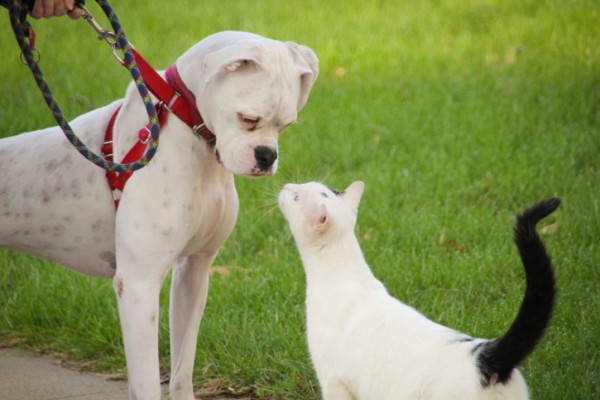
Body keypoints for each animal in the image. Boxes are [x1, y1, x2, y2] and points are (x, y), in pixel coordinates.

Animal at [0, 30, 318, 400]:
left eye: (286, 125)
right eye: (248, 119)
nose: (267, 156)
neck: (187, 129)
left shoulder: (194, 272)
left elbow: (182, 368)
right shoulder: (139, 285)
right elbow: (147, 380)